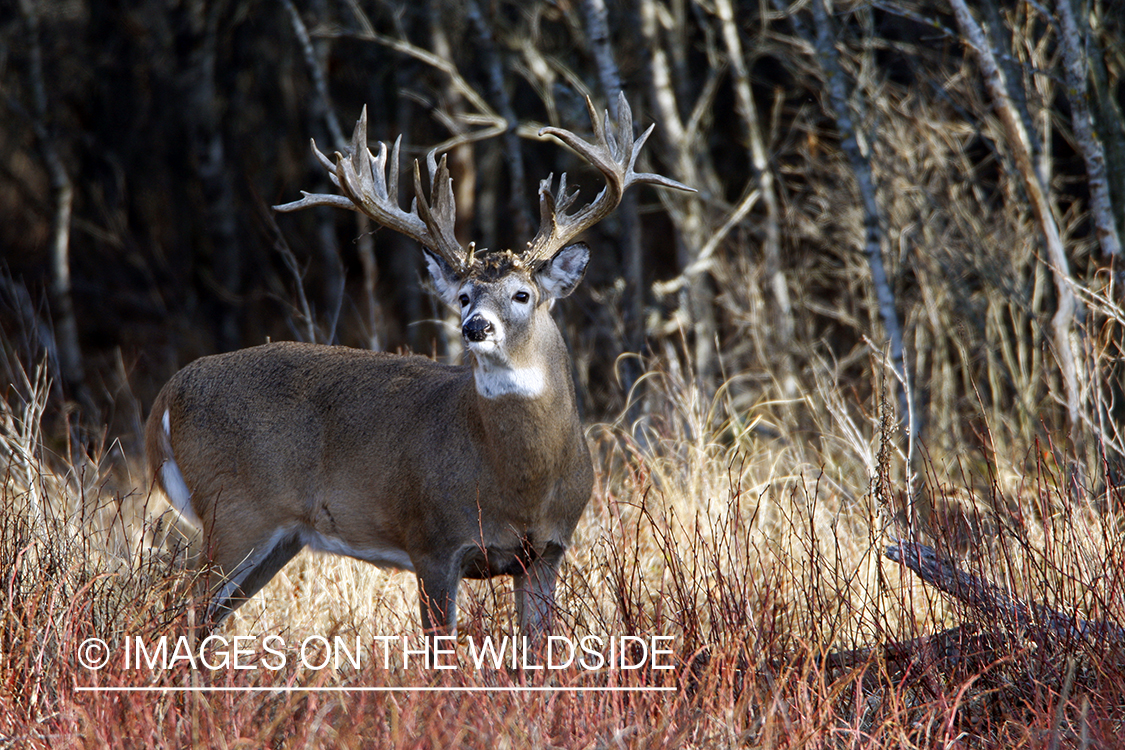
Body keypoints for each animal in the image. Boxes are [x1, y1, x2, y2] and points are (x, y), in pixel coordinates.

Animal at [145, 91, 688, 638]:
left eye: (523, 294)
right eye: (464, 296)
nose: (475, 326)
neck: (517, 484)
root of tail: (166, 396)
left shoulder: (546, 552)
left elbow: (539, 649)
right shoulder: (432, 542)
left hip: (277, 538)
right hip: (234, 512)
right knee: (177, 610)